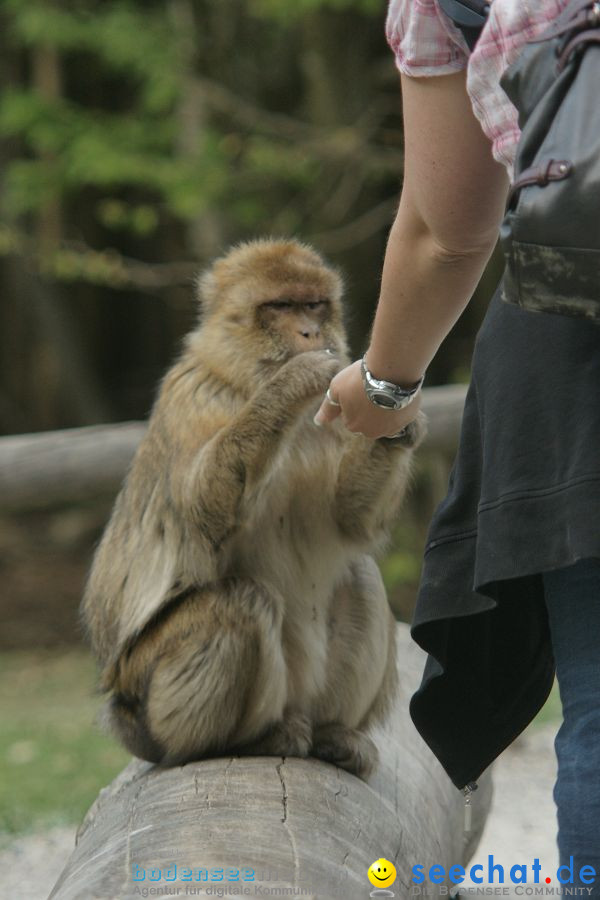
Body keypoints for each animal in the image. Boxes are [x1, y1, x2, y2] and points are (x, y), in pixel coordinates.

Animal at [81, 239, 426, 780]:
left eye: (314, 305)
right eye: (281, 306)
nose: (309, 333)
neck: (243, 378)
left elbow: (350, 524)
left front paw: (397, 423)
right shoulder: (191, 397)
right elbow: (203, 514)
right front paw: (292, 382)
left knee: (361, 576)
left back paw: (334, 734)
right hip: (154, 705)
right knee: (238, 602)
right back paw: (237, 741)